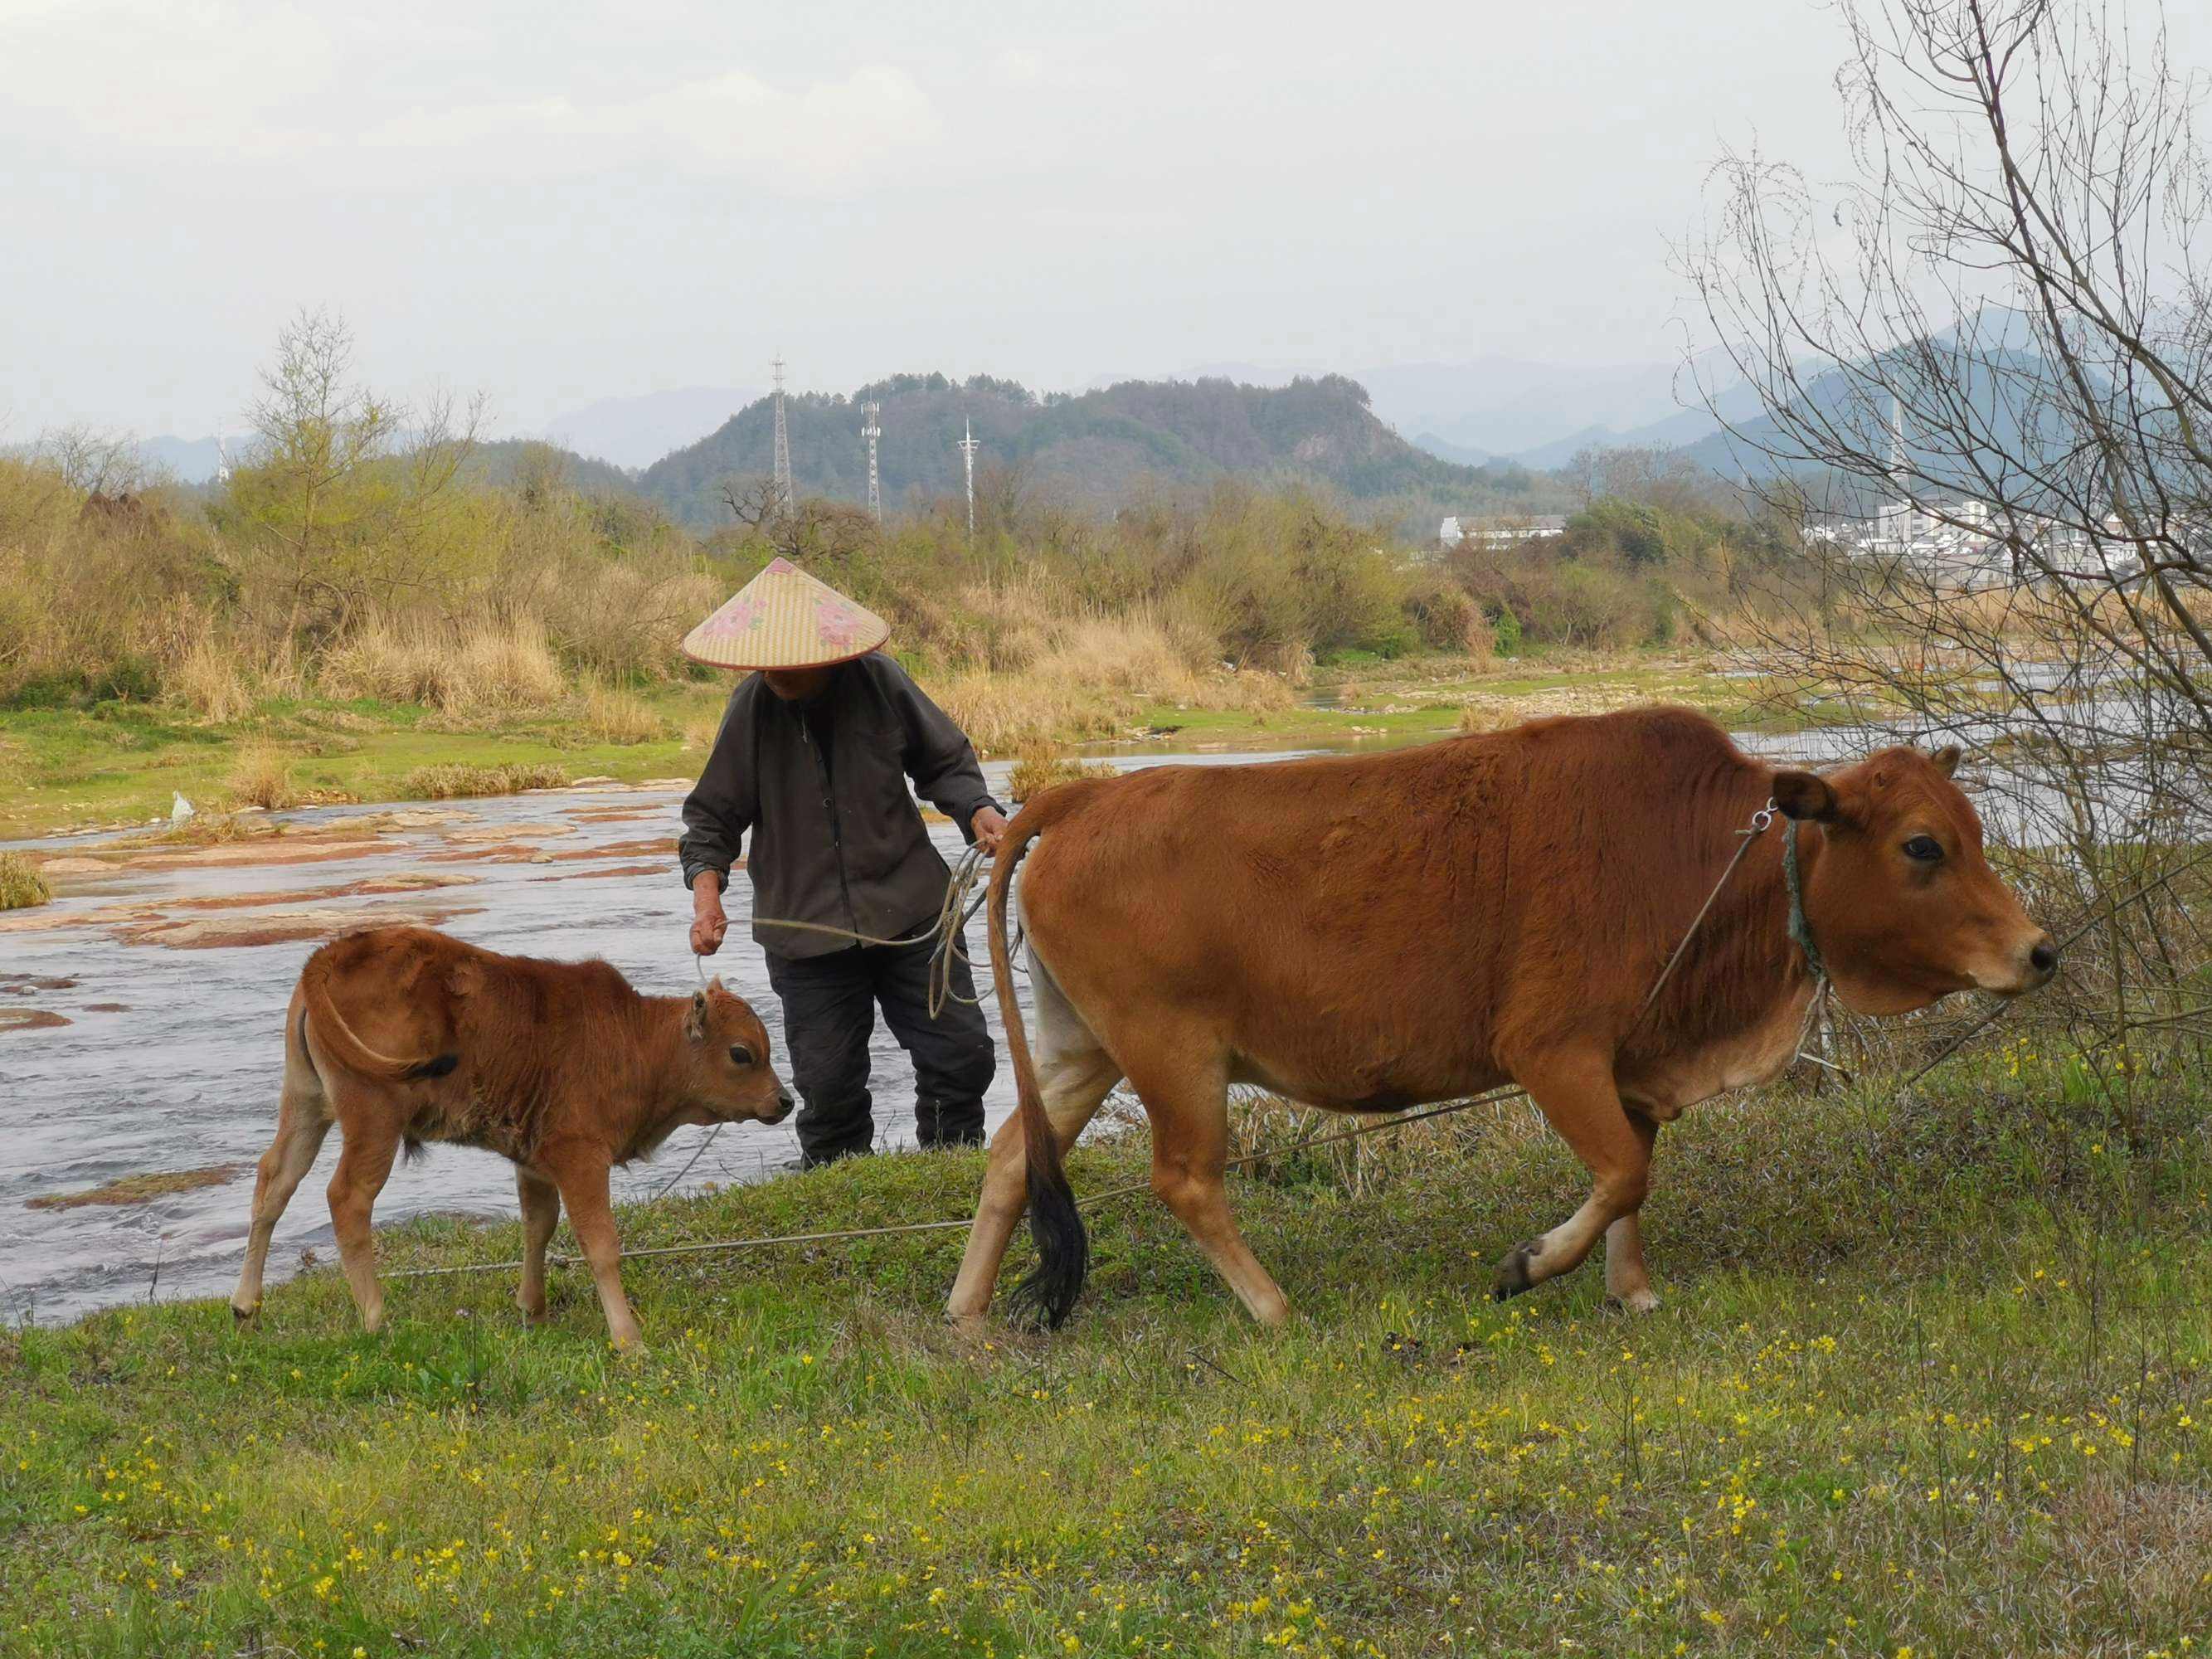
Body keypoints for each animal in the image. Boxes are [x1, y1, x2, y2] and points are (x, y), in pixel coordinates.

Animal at [224, 929, 791, 1345]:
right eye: (742, 1053)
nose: (784, 1101)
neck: (633, 1039)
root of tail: (334, 953)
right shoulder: (580, 1158)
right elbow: (601, 1244)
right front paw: (628, 1338)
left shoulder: (533, 1161)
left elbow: (538, 1227)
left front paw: (532, 1311)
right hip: (373, 1121)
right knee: (347, 1198)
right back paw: (376, 1317)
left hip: (305, 1105)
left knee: (275, 1181)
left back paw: (247, 1305)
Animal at [950, 708, 2052, 1335]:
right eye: (1922, 845)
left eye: (1972, 830)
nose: (2040, 950)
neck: (1699, 850)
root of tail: (1083, 797)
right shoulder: (1552, 1050)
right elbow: (1624, 1172)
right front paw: (1533, 1264)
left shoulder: (1632, 1060)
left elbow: (1633, 1176)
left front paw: (1631, 1290)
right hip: (1173, 1052)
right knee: (1184, 1179)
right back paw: (1273, 1307)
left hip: (1084, 1048)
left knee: (1009, 1157)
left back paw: (967, 1312)